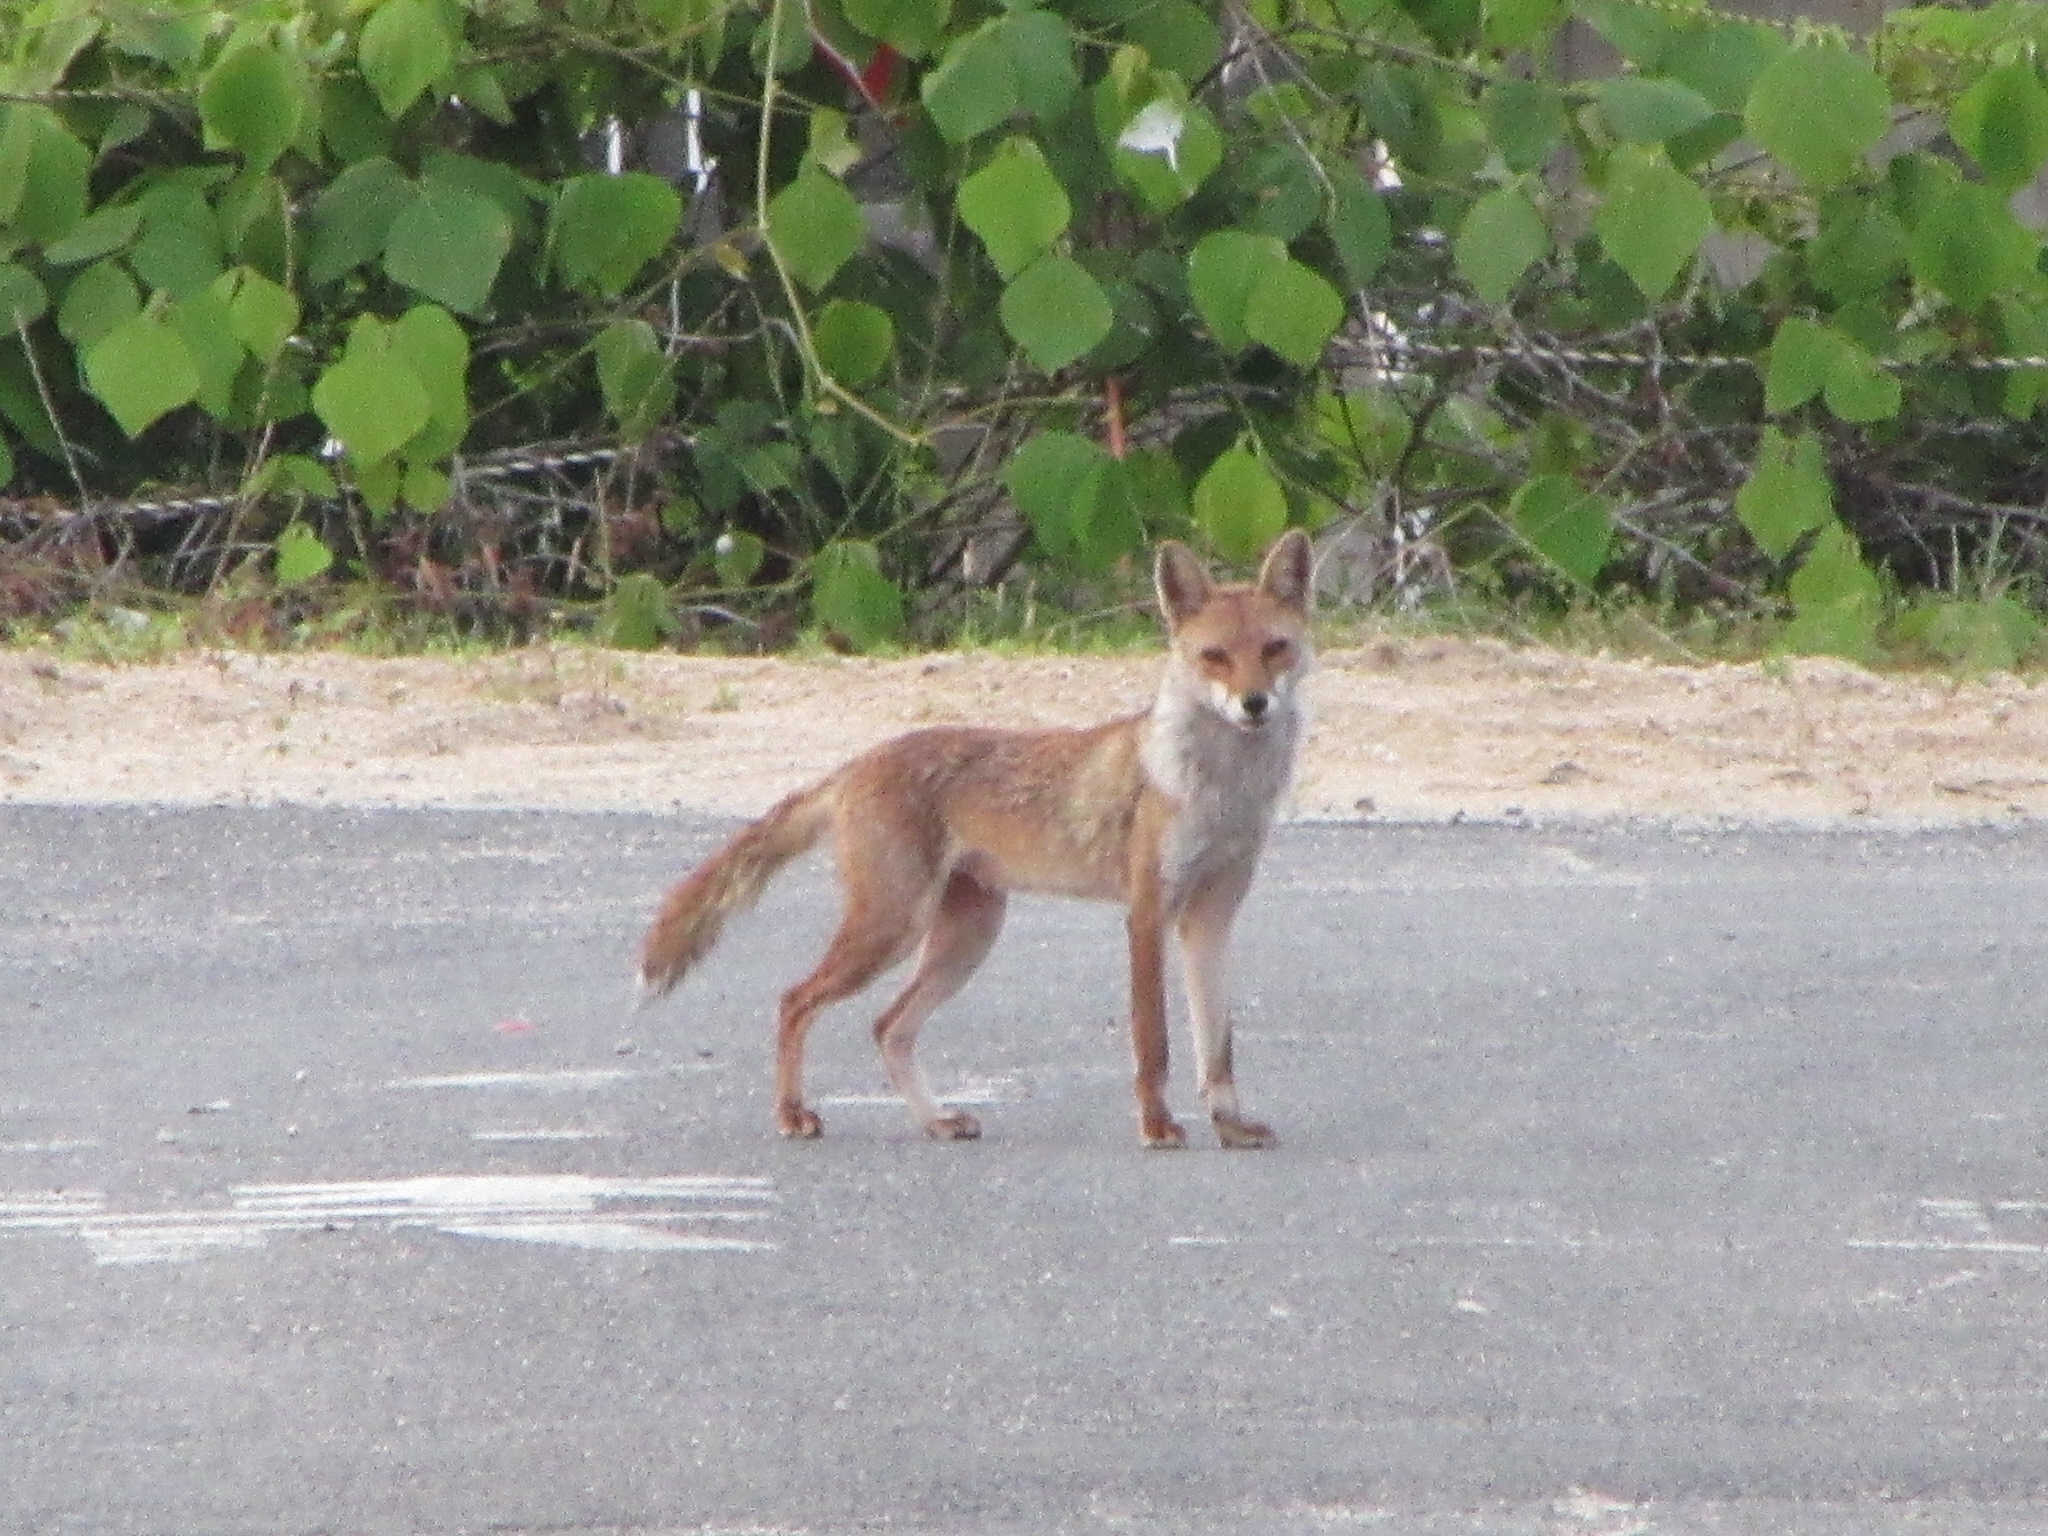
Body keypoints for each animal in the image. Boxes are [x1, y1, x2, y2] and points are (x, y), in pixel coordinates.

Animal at [630, 528, 1318, 1146]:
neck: (1219, 794)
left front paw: (1230, 1126)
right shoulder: (1147, 912)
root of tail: (856, 764)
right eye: (1214, 657)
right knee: (795, 1001)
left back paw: (934, 1121)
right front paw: (1156, 1126)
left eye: (1274, 648)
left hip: (966, 937)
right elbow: (1155, 1041)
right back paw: (793, 1115)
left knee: (887, 1027)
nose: (1254, 704)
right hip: (893, 926)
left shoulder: (1211, 916)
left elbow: (1217, 1045)